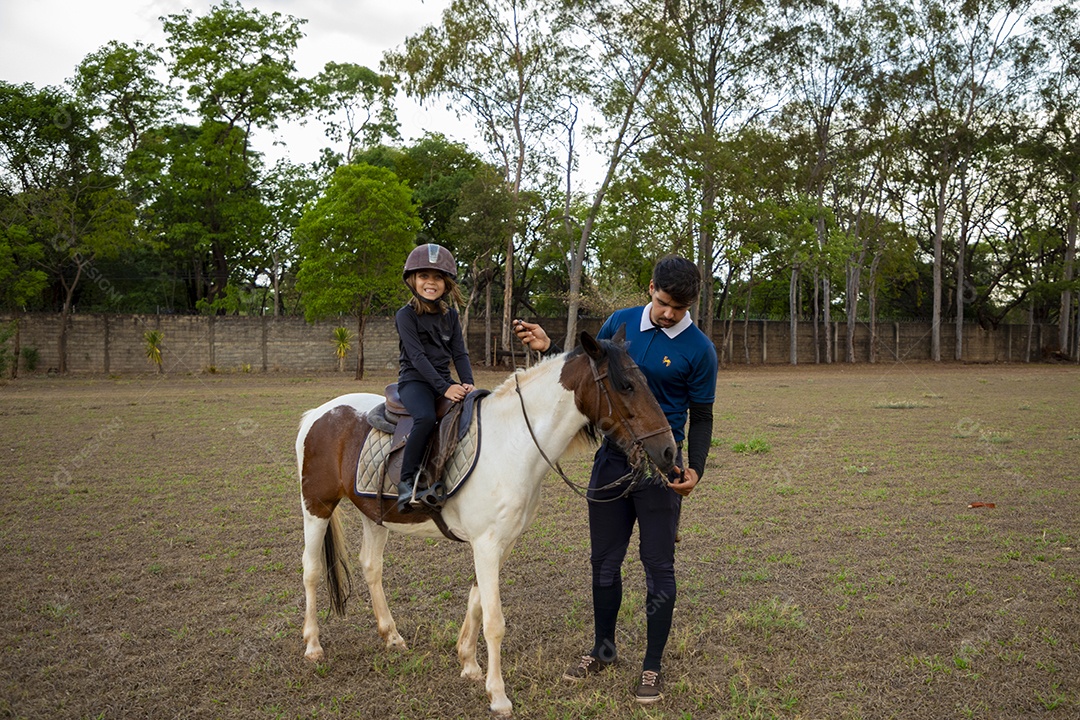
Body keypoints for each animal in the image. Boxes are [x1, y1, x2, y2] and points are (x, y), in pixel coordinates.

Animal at [295, 330, 673, 716]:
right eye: (626, 385)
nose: (669, 451)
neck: (512, 443)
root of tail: (319, 414)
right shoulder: (487, 544)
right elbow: (494, 621)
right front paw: (498, 695)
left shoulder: (500, 543)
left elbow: (477, 600)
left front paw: (469, 664)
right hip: (316, 506)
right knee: (311, 569)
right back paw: (313, 645)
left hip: (374, 515)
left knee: (371, 567)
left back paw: (392, 636)